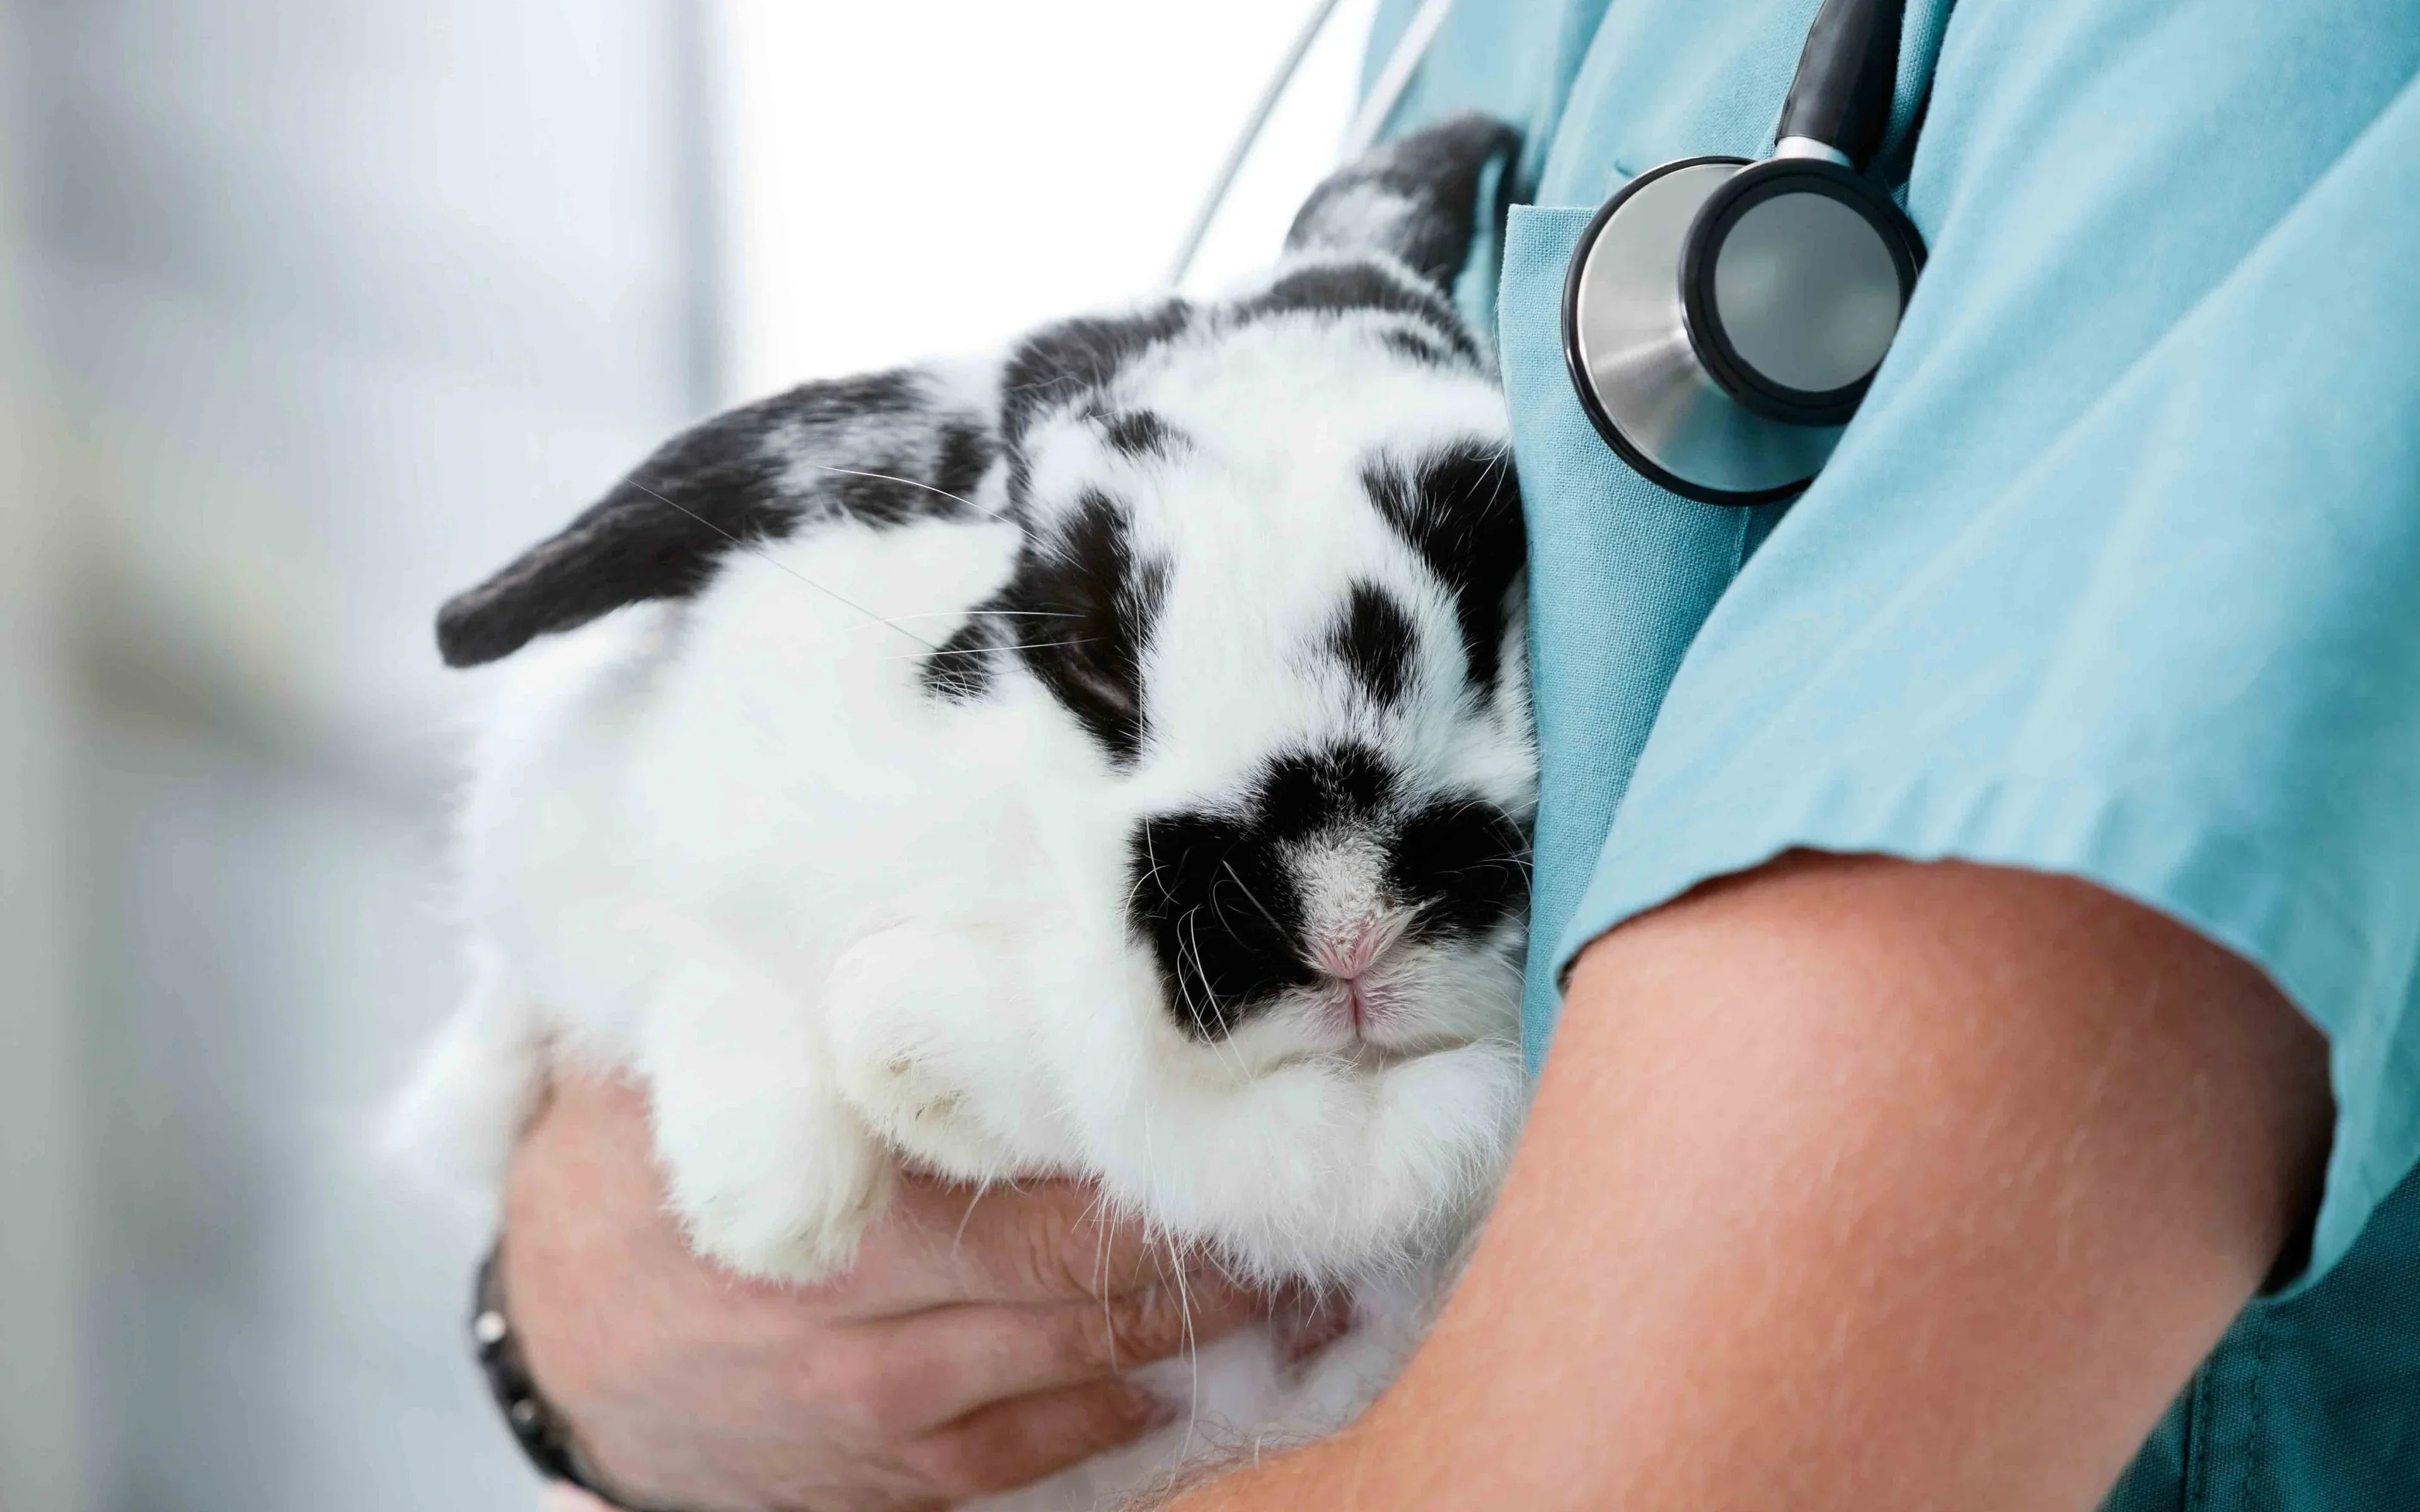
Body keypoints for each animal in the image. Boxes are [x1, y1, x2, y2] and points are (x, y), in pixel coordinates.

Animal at [391, 113, 1533, 1508]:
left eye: (1492, 578)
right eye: (1086, 647)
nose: (1348, 913)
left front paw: (922, 1066)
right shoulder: (586, 834)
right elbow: (682, 955)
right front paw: (775, 1207)